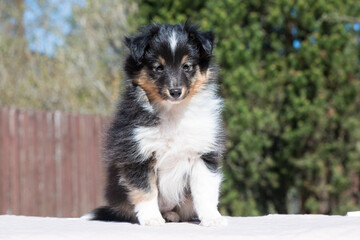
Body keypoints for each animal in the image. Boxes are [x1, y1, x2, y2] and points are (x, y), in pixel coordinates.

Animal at [89, 22, 225, 227]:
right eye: (158, 67)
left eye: (187, 66)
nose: (175, 91)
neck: (173, 111)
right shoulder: (137, 155)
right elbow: (146, 190)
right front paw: (152, 219)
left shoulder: (203, 153)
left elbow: (205, 189)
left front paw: (212, 218)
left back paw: (171, 215)